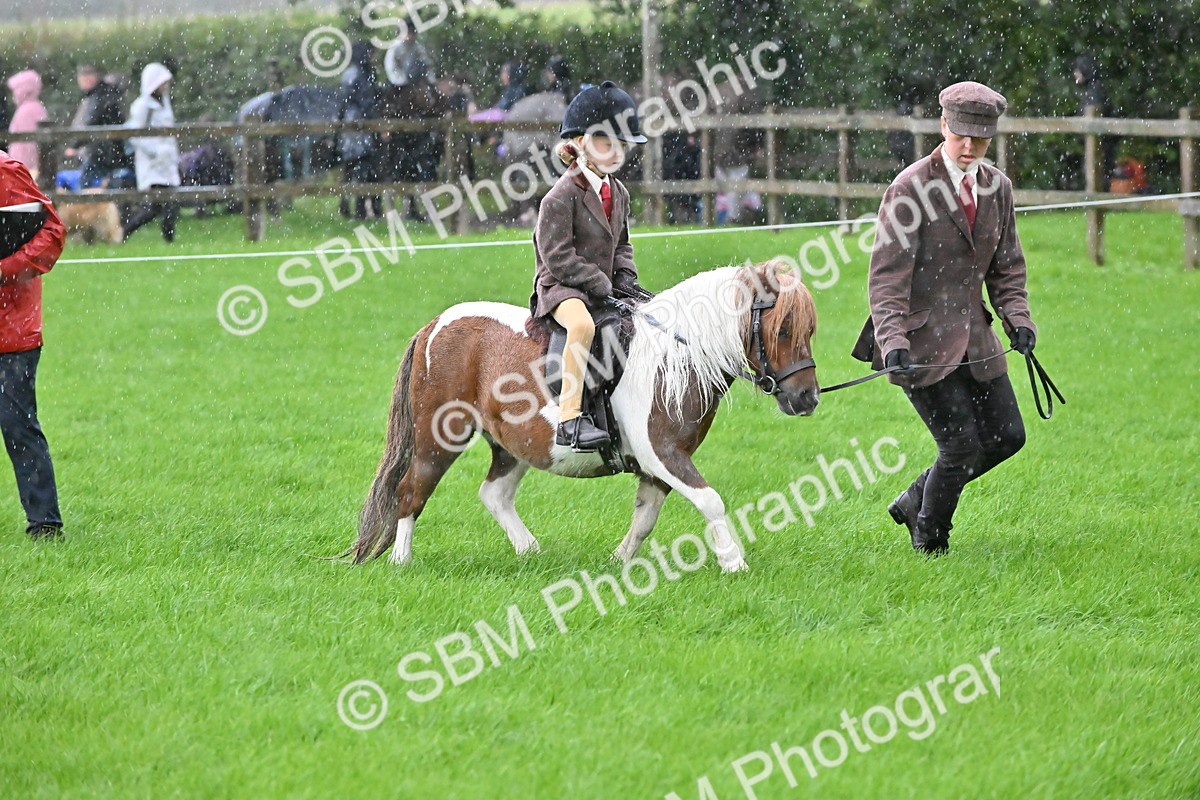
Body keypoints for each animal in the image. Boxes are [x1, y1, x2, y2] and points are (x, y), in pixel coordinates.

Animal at [348, 260, 820, 573]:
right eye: (782, 329)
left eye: (809, 330)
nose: (808, 398)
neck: (676, 354)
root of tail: (433, 326)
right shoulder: (664, 455)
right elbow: (711, 500)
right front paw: (733, 562)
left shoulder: (657, 467)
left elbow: (645, 519)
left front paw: (619, 560)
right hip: (438, 438)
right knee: (410, 491)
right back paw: (401, 561)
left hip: (512, 444)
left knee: (494, 494)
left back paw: (529, 550)